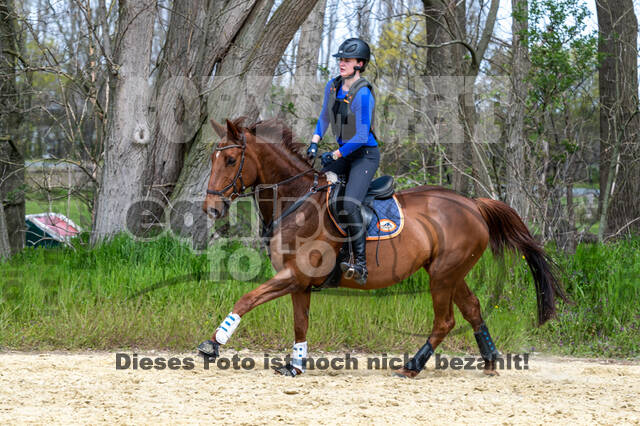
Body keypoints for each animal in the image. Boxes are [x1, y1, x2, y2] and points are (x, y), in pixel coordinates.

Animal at [200, 117, 564, 380]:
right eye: (213, 158)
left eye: (230, 159)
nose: (211, 209)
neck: (298, 202)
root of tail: (474, 204)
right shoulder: (300, 283)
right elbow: (300, 323)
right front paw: (295, 365)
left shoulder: (295, 275)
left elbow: (247, 298)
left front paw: (213, 344)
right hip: (449, 272)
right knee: (472, 309)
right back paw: (489, 362)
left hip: (442, 275)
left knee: (444, 321)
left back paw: (412, 367)